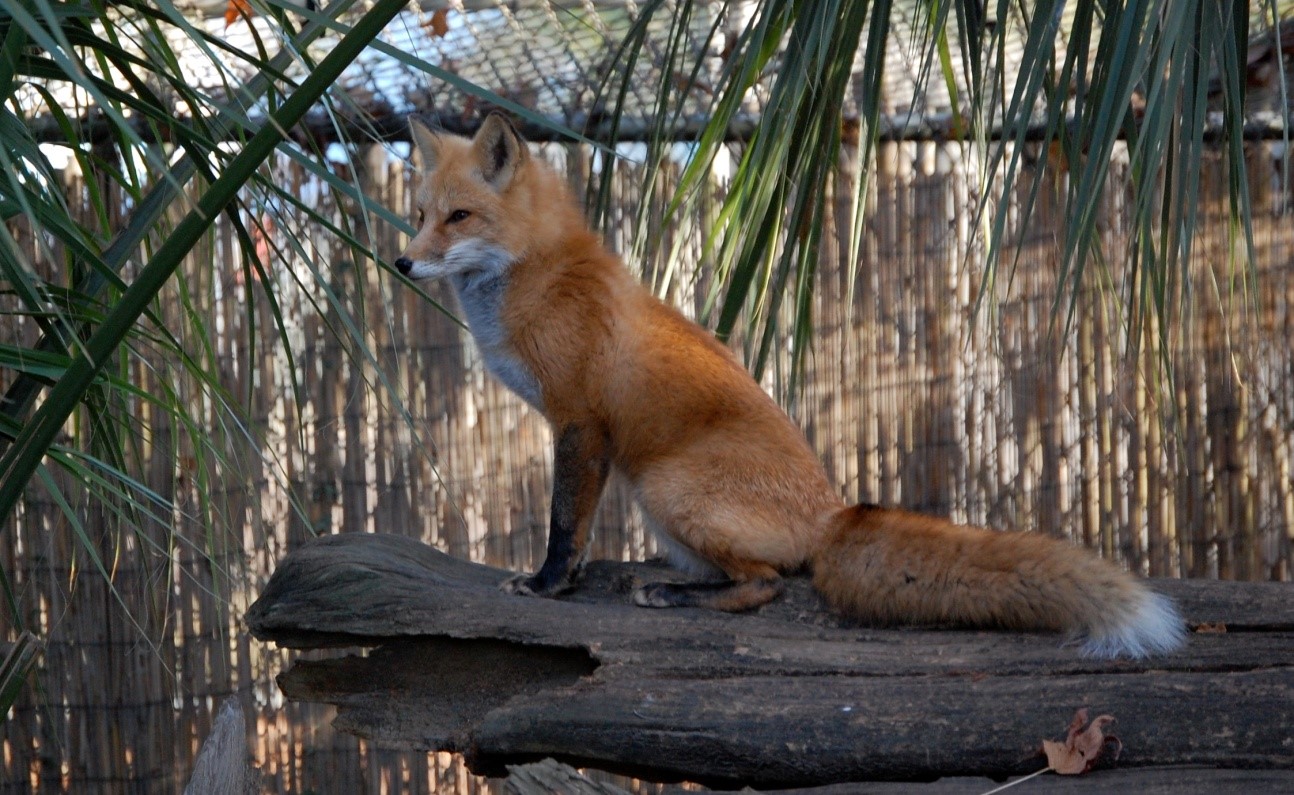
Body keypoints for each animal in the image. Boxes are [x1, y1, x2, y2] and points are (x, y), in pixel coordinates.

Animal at [393, 113, 1187, 659]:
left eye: (459, 217)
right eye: (419, 215)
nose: (401, 263)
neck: (538, 277)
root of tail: (832, 514)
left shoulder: (579, 422)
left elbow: (564, 522)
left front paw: (547, 584)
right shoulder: (583, 435)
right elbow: (576, 523)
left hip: (668, 488)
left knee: (767, 583)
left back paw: (676, 595)